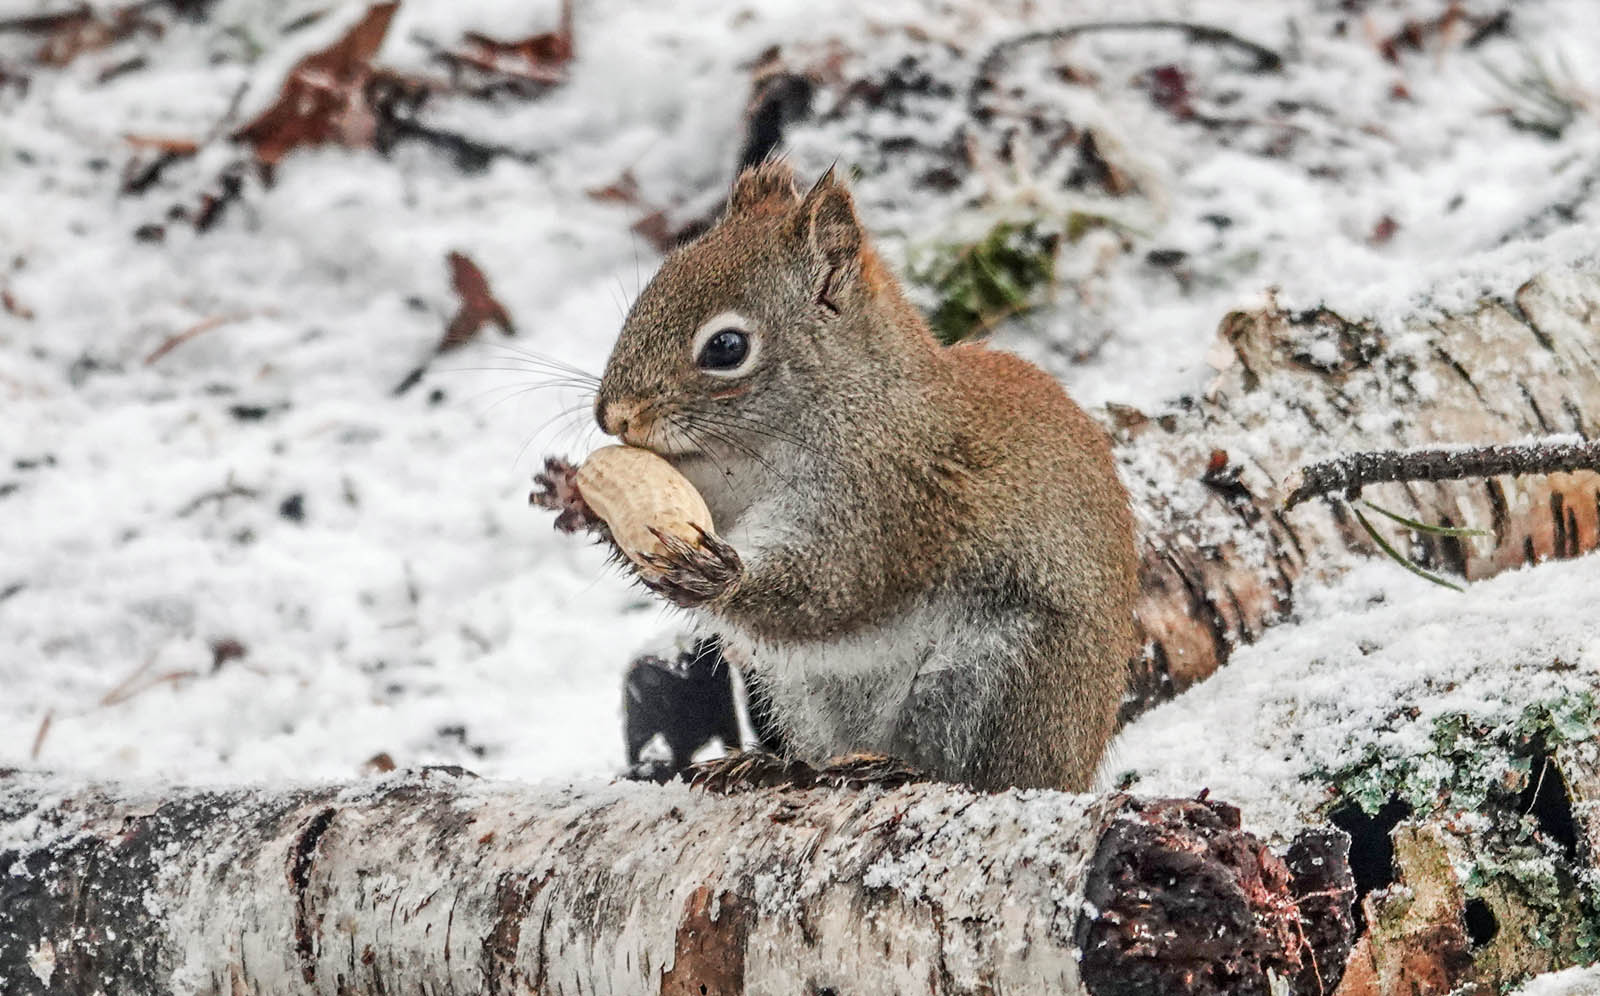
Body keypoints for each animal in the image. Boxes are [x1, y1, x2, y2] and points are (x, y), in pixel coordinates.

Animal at [587, 161, 1139, 792]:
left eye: (726, 347)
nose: (613, 415)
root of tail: (1072, 769)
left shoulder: (892, 494)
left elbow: (838, 587)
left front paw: (718, 577)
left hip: (992, 681)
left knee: (980, 771)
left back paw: (889, 766)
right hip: (806, 695)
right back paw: (769, 763)